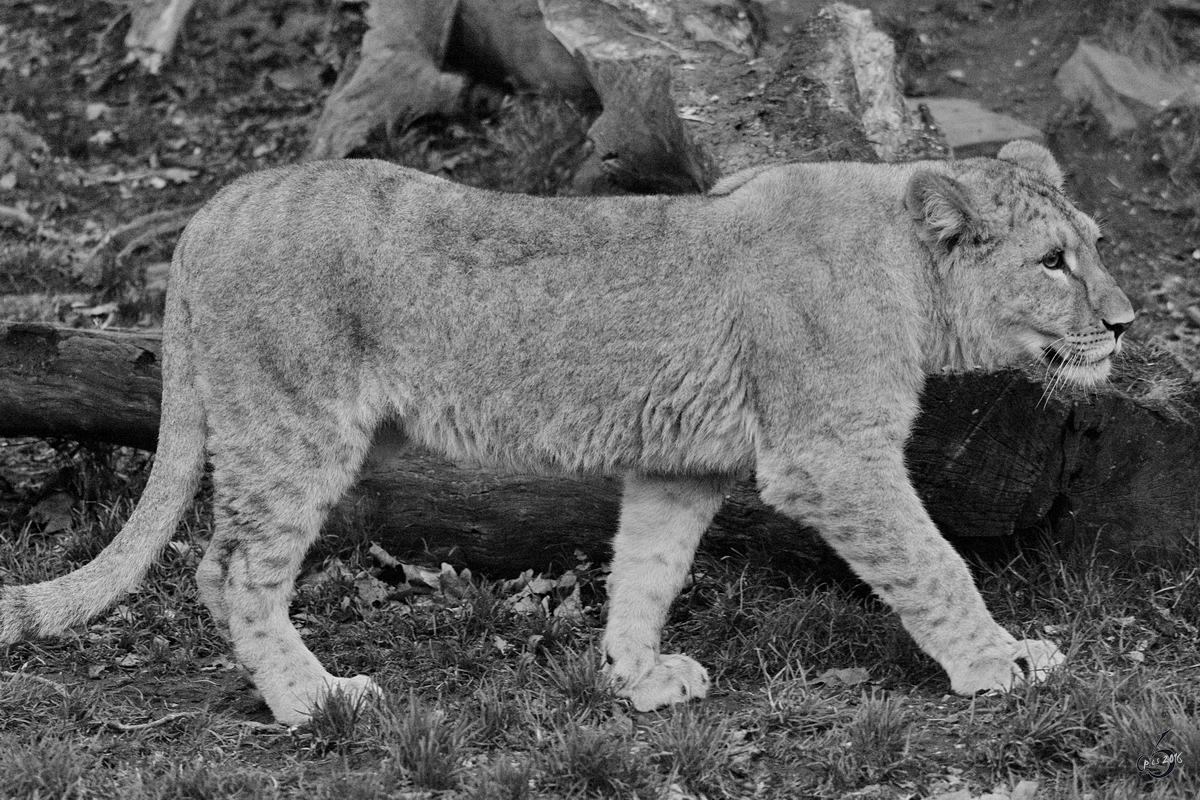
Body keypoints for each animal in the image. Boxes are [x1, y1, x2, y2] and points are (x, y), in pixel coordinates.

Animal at [0, 142, 1128, 724]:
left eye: (1097, 245)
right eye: (1053, 261)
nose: (1123, 323)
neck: (911, 272)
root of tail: (214, 208)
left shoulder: (682, 465)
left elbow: (648, 570)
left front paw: (636, 677)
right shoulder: (831, 456)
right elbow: (936, 562)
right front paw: (1003, 661)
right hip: (294, 425)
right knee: (230, 567)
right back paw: (316, 699)